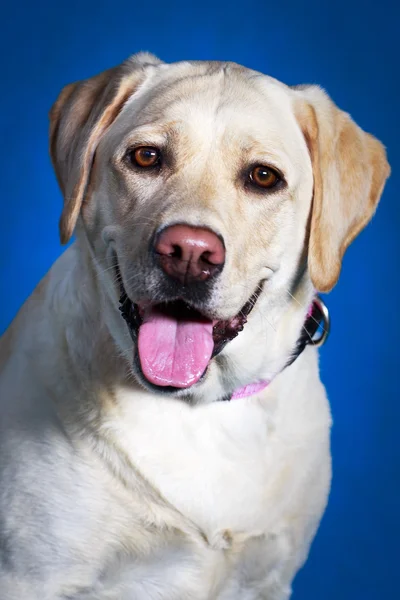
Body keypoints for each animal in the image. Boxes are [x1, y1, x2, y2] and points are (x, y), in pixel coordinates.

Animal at [0, 54, 390, 596]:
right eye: (146, 157)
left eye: (263, 177)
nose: (188, 253)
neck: (196, 407)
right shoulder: (29, 575)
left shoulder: (269, 579)